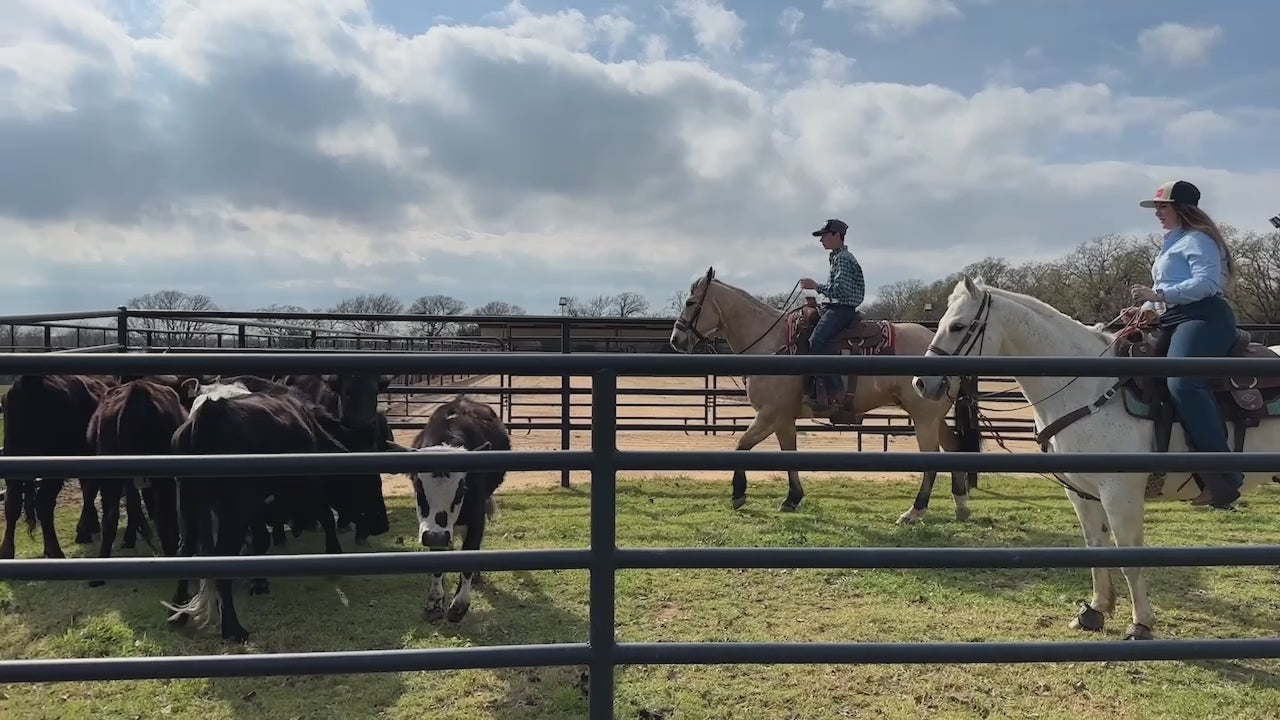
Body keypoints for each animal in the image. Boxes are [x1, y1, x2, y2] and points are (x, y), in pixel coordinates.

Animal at [0, 374, 118, 560]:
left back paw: (6, 552)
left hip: (13, 460)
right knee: (43, 503)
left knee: (12, 504)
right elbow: (89, 491)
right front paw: (84, 530)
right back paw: (55, 551)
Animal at [161, 384, 398, 642]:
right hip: (231, 513)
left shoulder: (257, 510)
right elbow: (325, 517)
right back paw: (233, 629)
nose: (383, 524)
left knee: (185, 550)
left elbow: (260, 541)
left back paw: (178, 613)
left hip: (187, 502)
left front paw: (259, 583)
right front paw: (334, 554)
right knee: (221, 559)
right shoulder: (307, 491)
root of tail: (209, 414)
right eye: (370, 482)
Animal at [408, 394, 510, 623]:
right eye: (418, 486)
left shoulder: (476, 519)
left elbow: (469, 556)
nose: (436, 538)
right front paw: (435, 601)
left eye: (462, 488)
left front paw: (460, 604)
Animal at [668, 267, 983, 523]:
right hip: (932, 416)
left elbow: (742, 446)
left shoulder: (769, 414)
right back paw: (961, 507)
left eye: (690, 302)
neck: (772, 344)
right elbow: (788, 454)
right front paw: (792, 498)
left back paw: (915, 512)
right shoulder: (783, 419)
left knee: (933, 459)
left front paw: (738, 493)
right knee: (954, 448)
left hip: (924, 418)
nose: (676, 339)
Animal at [912, 275, 1280, 640]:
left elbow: (1129, 555)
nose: (921, 383)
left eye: (958, 326)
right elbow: (1095, 544)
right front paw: (1095, 611)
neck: (1089, 388)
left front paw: (1141, 623)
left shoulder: (1120, 493)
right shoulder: (1081, 491)